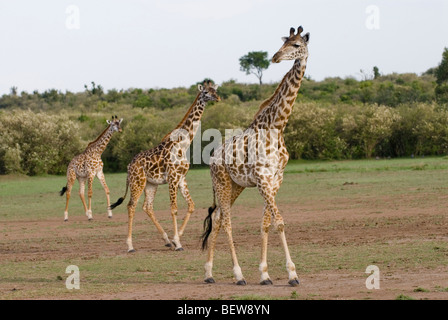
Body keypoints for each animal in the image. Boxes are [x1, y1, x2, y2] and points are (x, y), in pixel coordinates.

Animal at [109, 82, 220, 252]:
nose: (218, 98)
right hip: (137, 182)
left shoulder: (181, 178)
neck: (183, 144)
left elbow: (191, 205)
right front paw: (178, 243)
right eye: (206, 92)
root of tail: (129, 166)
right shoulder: (173, 178)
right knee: (131, 206)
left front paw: (176, 238)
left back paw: (166, 240)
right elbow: (174, 209)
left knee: (147, 207)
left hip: (151, 184)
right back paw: (130, 245)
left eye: (215, 90)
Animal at [201, 25, 310, 284]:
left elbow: (266, 224)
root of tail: (212, 158)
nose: (275, 57)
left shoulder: (276, 179)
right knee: (226, 221)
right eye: (284, 42)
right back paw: (238, 275)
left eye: (297, 44)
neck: (277, 126)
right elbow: (279, 222)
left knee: (217, 218)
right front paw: (292, 274)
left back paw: (209, 273)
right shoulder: (262, 178)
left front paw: (265, 274)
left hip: (236, 186)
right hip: (222, 182)